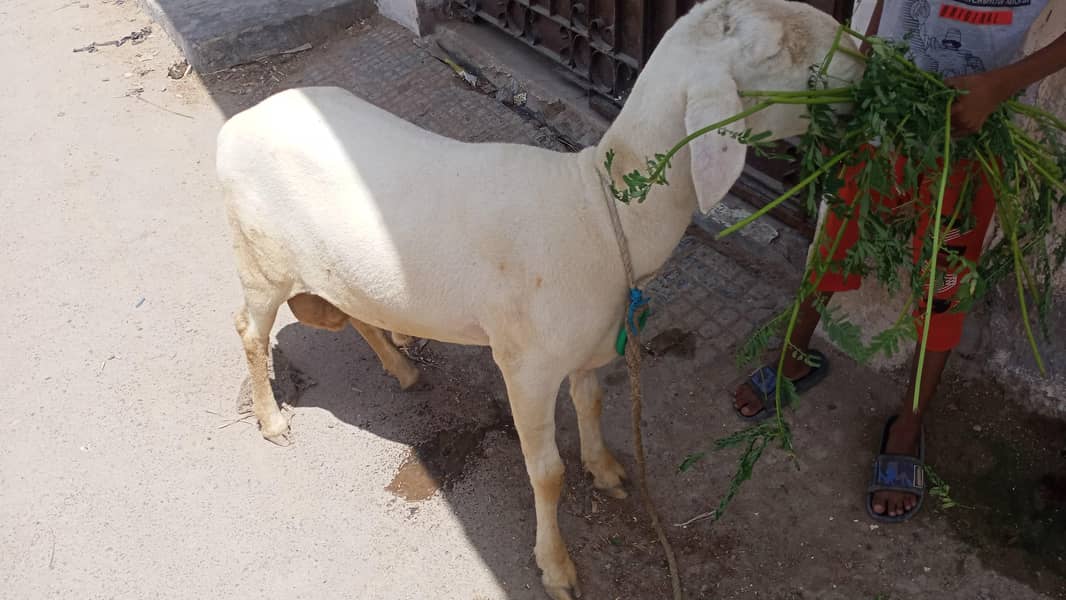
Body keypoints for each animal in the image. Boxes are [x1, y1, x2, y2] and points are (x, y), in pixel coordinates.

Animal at [216, 1, 862, 597]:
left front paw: (606, 471)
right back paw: (273, 420)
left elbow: (593, 404)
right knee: (249, 328)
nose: (866, 59)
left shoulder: (589, 344)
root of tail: (237, 124)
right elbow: (547, 473)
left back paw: (401, 367)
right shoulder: (525, 365)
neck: (602, 211)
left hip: (338, 268)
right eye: (781, 53)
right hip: (261, 260)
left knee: (357, 312)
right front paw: (556, 567)